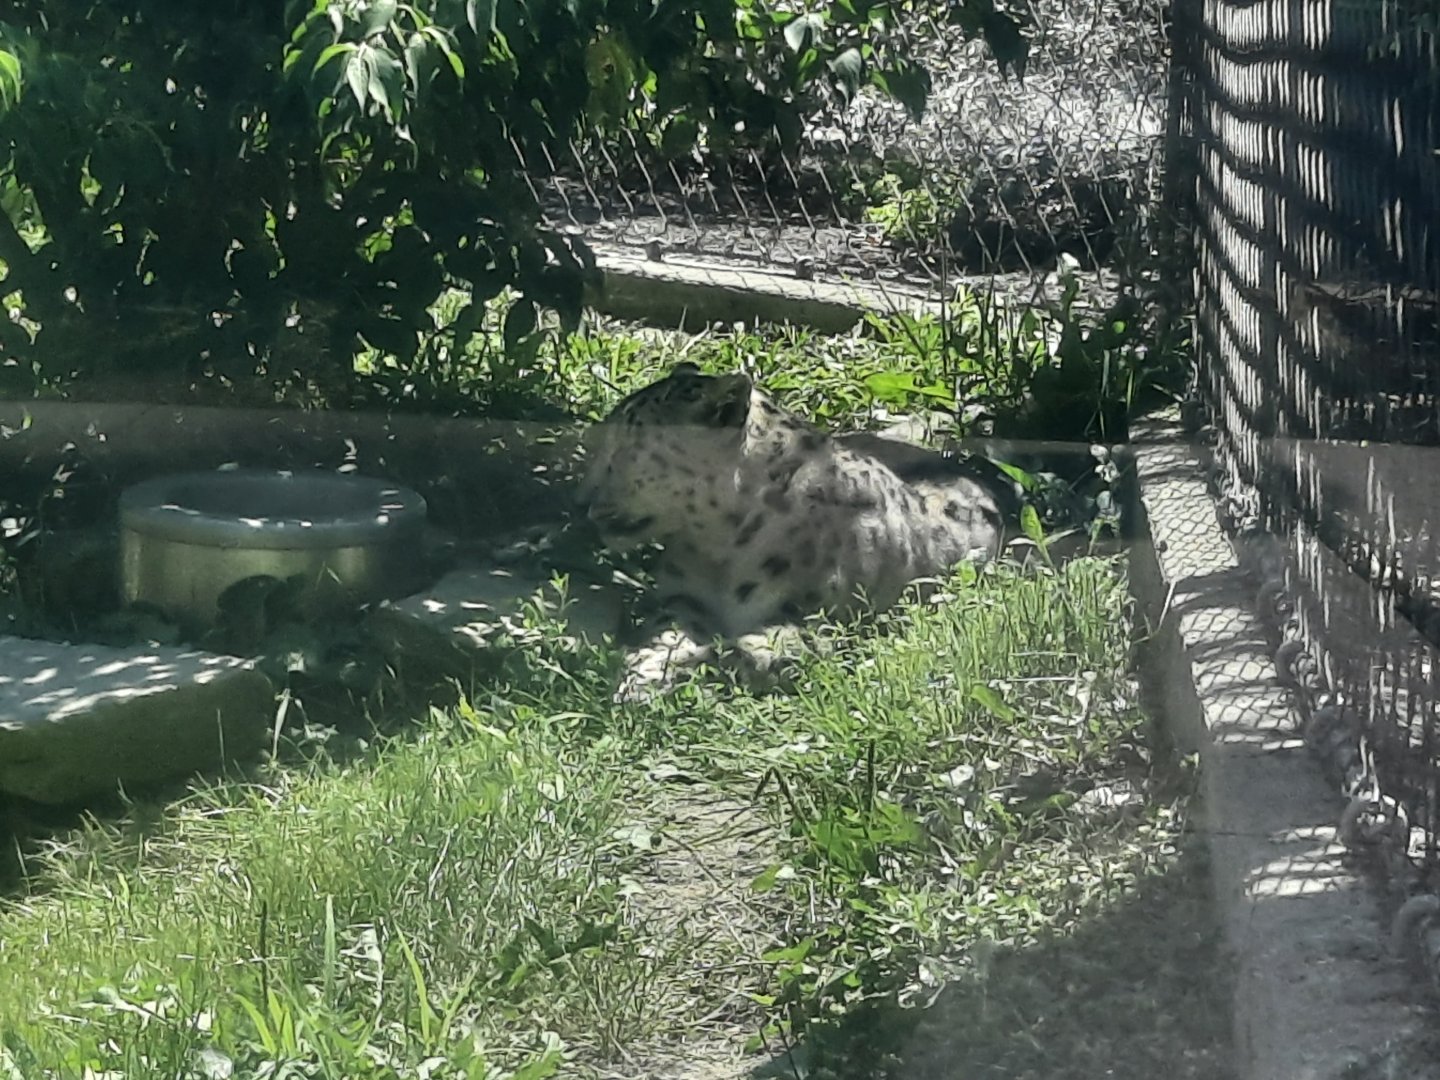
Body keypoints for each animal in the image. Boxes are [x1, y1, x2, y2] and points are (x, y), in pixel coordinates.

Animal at [576, 362, 1022, 695]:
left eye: (628, 448)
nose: (584, 502)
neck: (718, 549)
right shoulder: (681, 597)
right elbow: (666, 633)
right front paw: (645, 672)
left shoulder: (821, 616)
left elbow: (762, 647)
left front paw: (706, 659)